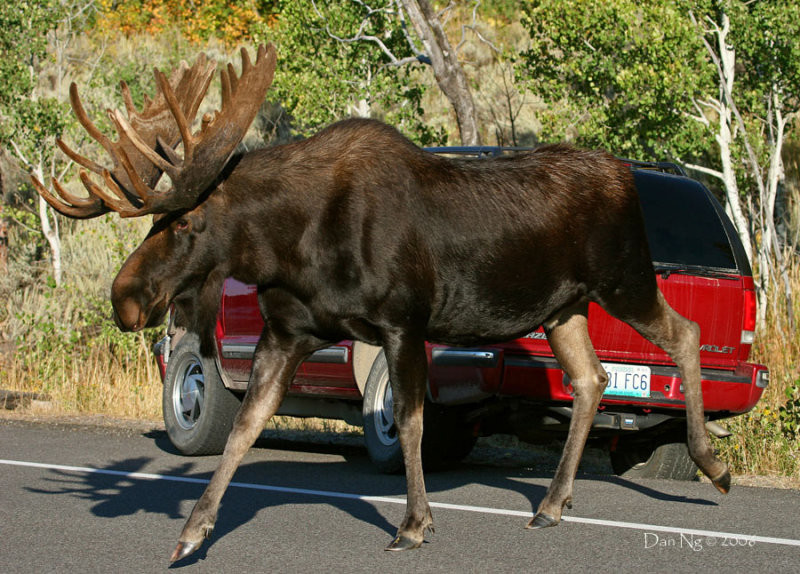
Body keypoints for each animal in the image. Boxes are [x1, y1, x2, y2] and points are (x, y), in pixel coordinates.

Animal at [32, 44, 732, 564]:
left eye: (186, 222)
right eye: (159, 222)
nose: (124, 298)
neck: (290, 248)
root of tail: (624, 176)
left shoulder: (403, 322)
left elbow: (412, 421)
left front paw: (415, 524)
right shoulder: (286, 332)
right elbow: (243, 428)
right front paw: (191, 533)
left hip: (624, 278)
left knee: (686, 334)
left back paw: (713, 466)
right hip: (563, 308)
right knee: (591, 378)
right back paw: (553, 504)